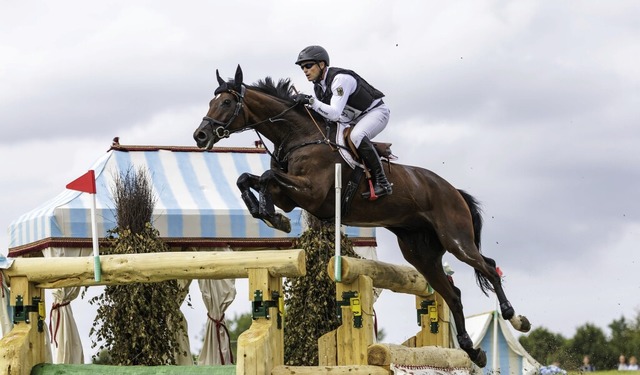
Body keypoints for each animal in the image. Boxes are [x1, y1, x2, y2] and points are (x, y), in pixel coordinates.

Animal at [192, 64, 532, 368]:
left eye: (225, 102)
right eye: (210, 101)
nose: (200, 135)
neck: (300, 135)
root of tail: (453, 190)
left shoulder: (311, 192)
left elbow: (264, 176)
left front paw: (269, 214)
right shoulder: (291, 196)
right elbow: (248, 179)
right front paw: (271, 216)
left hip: (455, 238)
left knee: (488, 267)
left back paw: (515, 318)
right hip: (420, 252)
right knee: (454, 293)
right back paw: (472, 351)